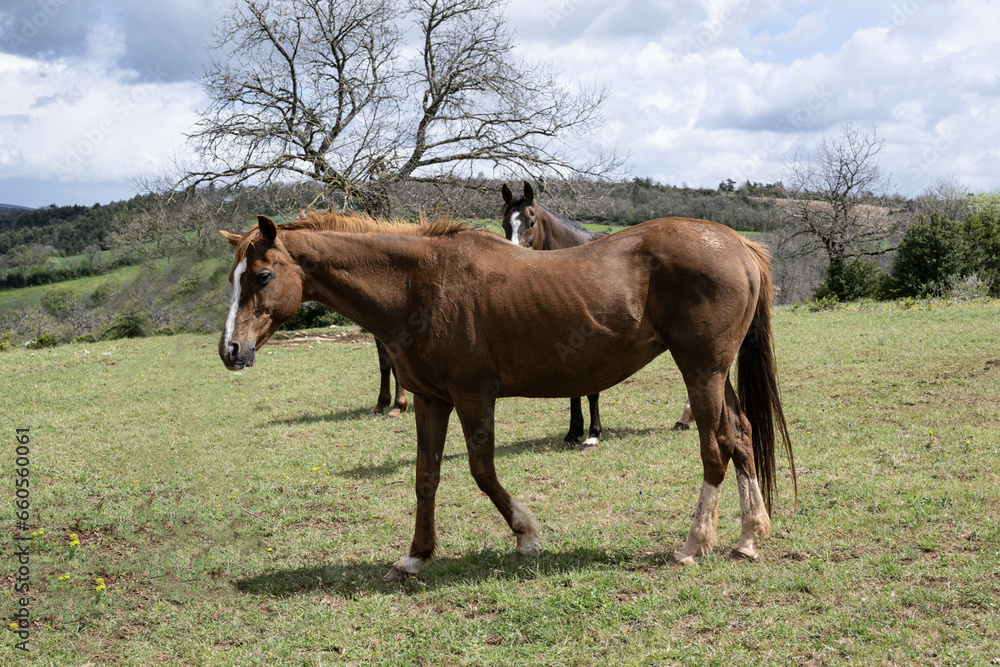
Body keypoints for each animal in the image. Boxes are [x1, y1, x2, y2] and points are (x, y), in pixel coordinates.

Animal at [219, 211, 796, 580]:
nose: (231, 350)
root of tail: (737, 244)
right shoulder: (431, 399)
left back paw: (694, 545)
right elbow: (426, 477)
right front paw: (416, 556)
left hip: (700, 371)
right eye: (233, 277)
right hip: (715, 374)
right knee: (741, 438)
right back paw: (748, 538)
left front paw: (527, 535)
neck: (420, 284)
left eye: (263, 275)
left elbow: (481, 470)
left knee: (714, 451)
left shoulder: (474, 394)